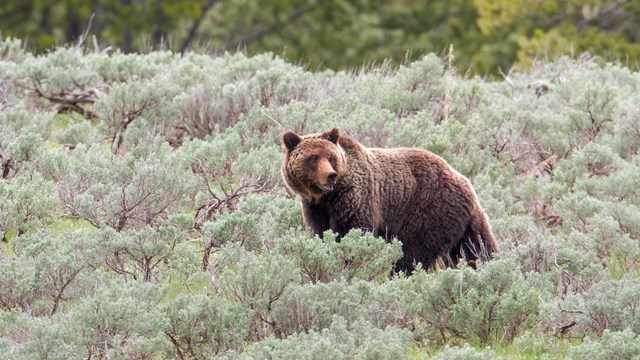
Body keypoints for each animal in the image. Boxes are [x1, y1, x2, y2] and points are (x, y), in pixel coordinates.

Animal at [282, 128, 500, 272]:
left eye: (330, 157)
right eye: (313, 158)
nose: (330, 175)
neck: (326, 197)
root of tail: (464, 181)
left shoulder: (356, 198)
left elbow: (352, 232)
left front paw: (349, 262)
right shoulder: (316, 209)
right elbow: (323, 233)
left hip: (428, 210)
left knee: (412, 252)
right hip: (463, 221)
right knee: (476, 247)